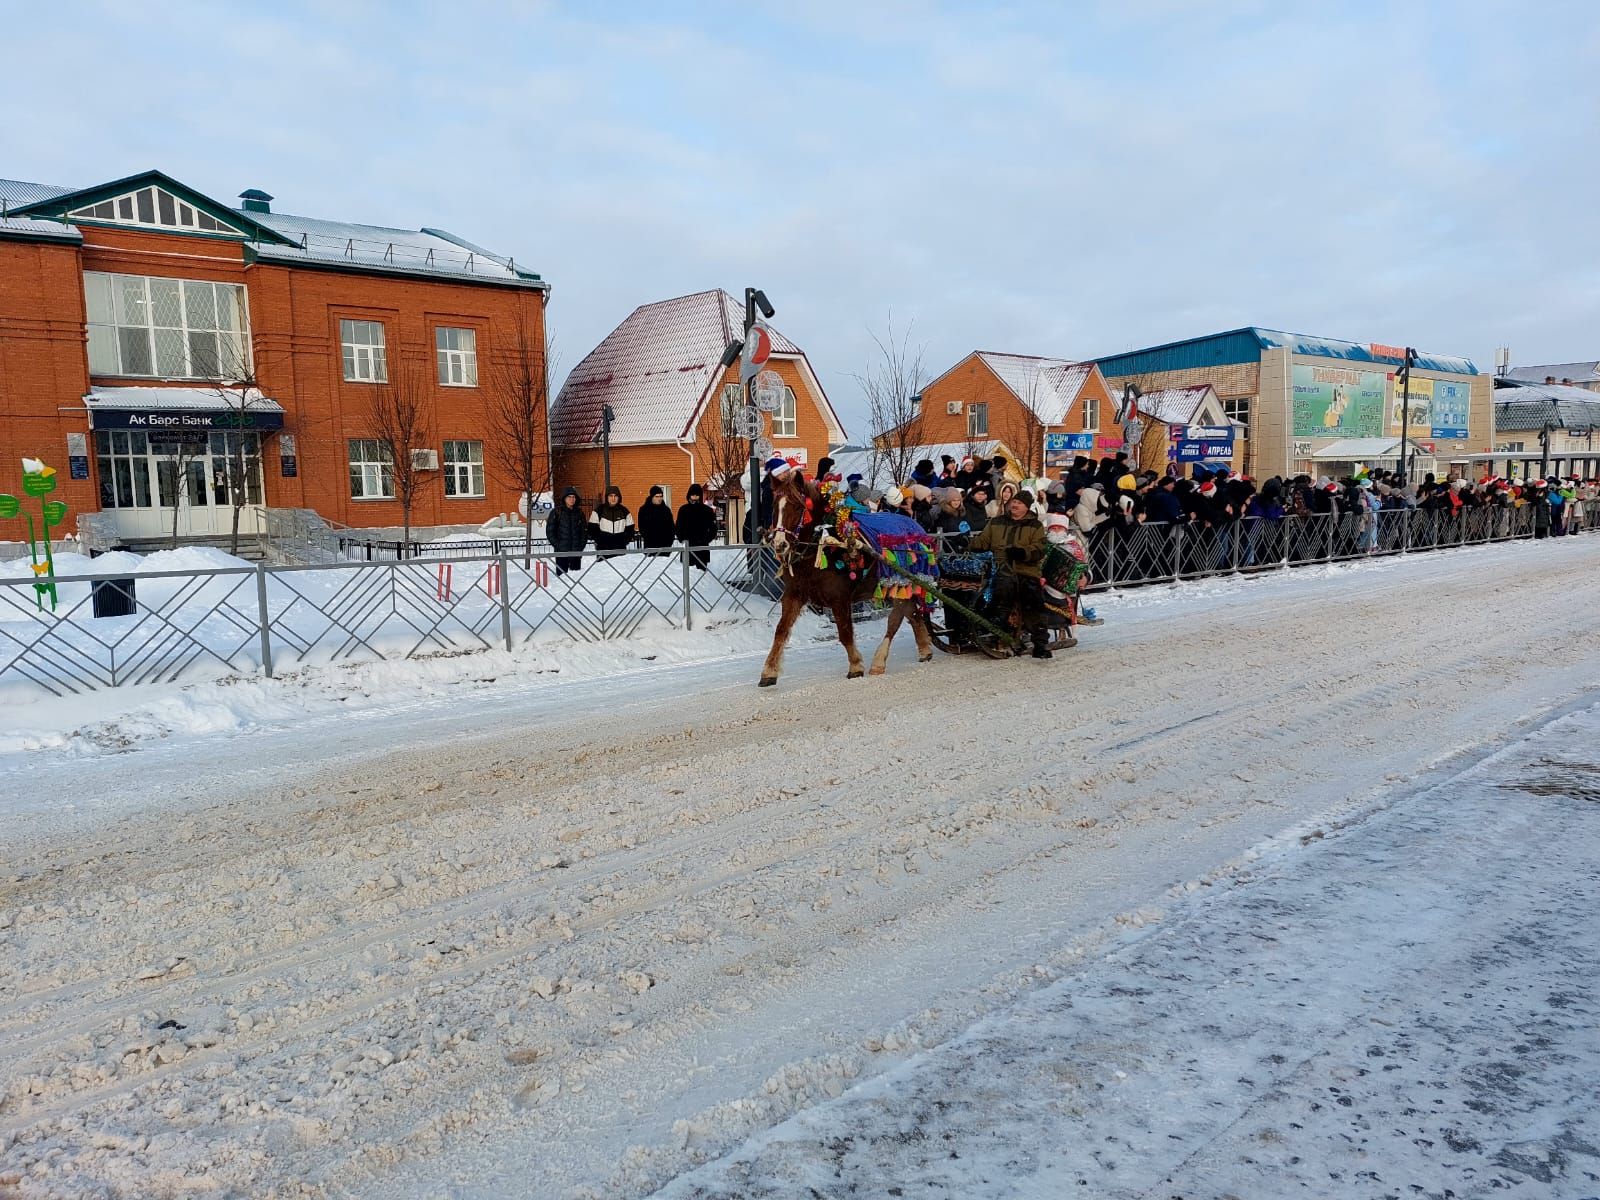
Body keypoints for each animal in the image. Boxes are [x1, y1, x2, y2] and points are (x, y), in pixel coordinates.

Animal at [758, 473, 934, 691]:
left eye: (798, 507)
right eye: (775, 506)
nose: (780, 544)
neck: (824, 543)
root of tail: (915, 526)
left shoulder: (839, 598)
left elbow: (844, 632)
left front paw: (856, 666)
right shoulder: (793, 595)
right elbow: (781, 631)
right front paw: (769, 671)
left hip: (899, 584)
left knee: (895, 620)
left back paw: (879, 660)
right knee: (912, 614)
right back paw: (924, 648)